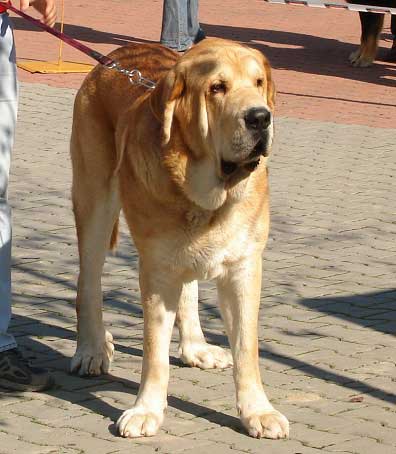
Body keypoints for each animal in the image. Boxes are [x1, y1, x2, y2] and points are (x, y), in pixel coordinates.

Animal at [69, 38, 290, 440]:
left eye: (258, 82)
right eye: (217, 88)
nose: (260, 117)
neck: (207, 197)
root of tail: (115, 57)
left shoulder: (244, 268)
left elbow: (247, 348)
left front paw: (258, 411)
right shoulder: (155, 270)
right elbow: (154, 350)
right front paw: (146, 409)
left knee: (188, 289)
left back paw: (196, 348)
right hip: (95, 205)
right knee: (88, 283)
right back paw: (92, 348)